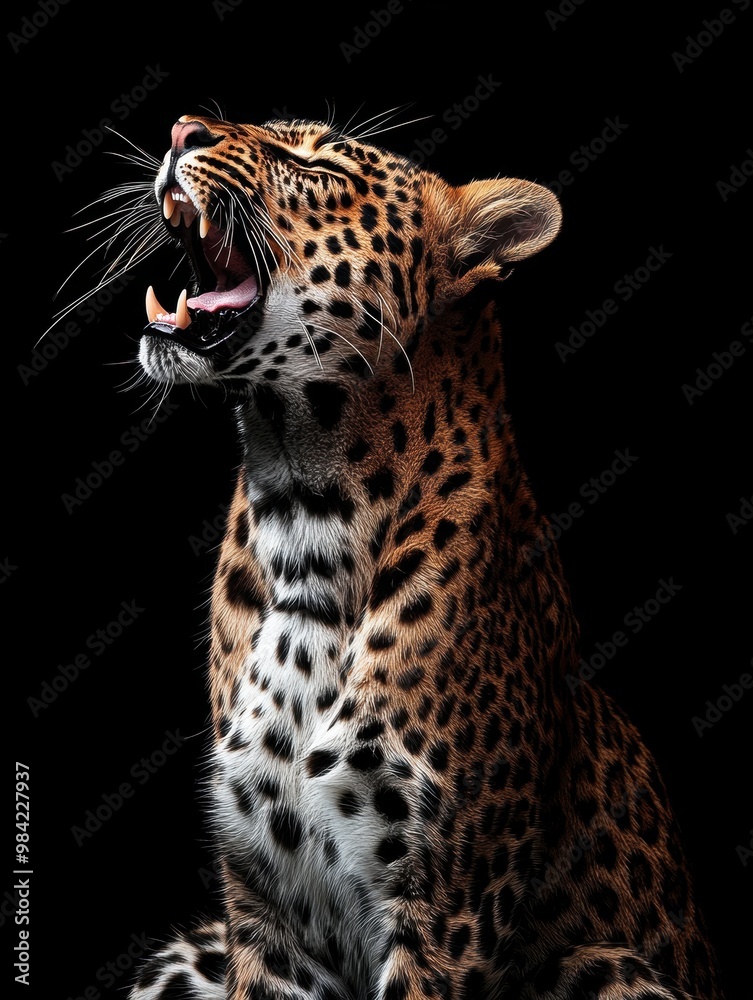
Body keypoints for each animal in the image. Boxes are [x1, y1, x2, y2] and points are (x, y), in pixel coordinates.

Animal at [80, 111, 724, 999]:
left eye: (316, 162)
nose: (181, 129)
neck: (303, 513)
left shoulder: (446, 908)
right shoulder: (265, 910)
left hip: (606, 965)